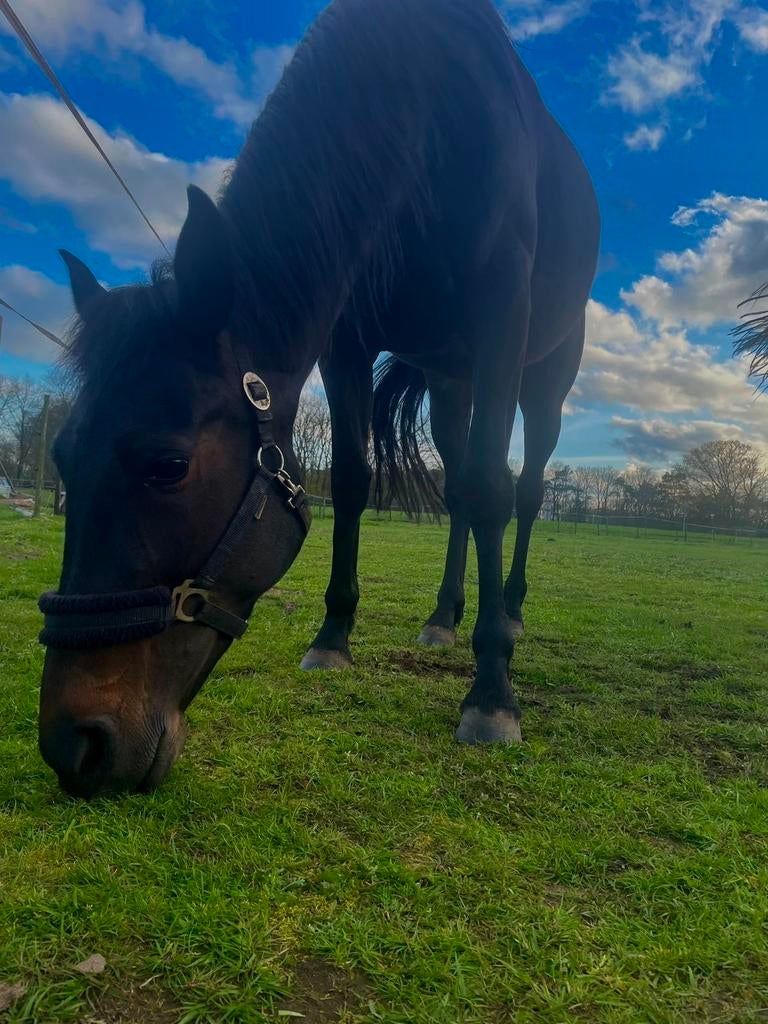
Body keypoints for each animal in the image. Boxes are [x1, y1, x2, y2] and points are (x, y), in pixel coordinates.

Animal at [38, 0, 599, 797]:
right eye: (62, 456)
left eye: (168, 465)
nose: (74, 744)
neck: (430, 117)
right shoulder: (347, 343)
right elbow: (358, 482)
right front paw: (333, 637)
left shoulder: (500, 319)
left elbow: (495, 490)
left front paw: (492, 694)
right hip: (451, 380)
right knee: (459, 488)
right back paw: (442, 615)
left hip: (541, 376)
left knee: (519, 491)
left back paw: (510, 612)